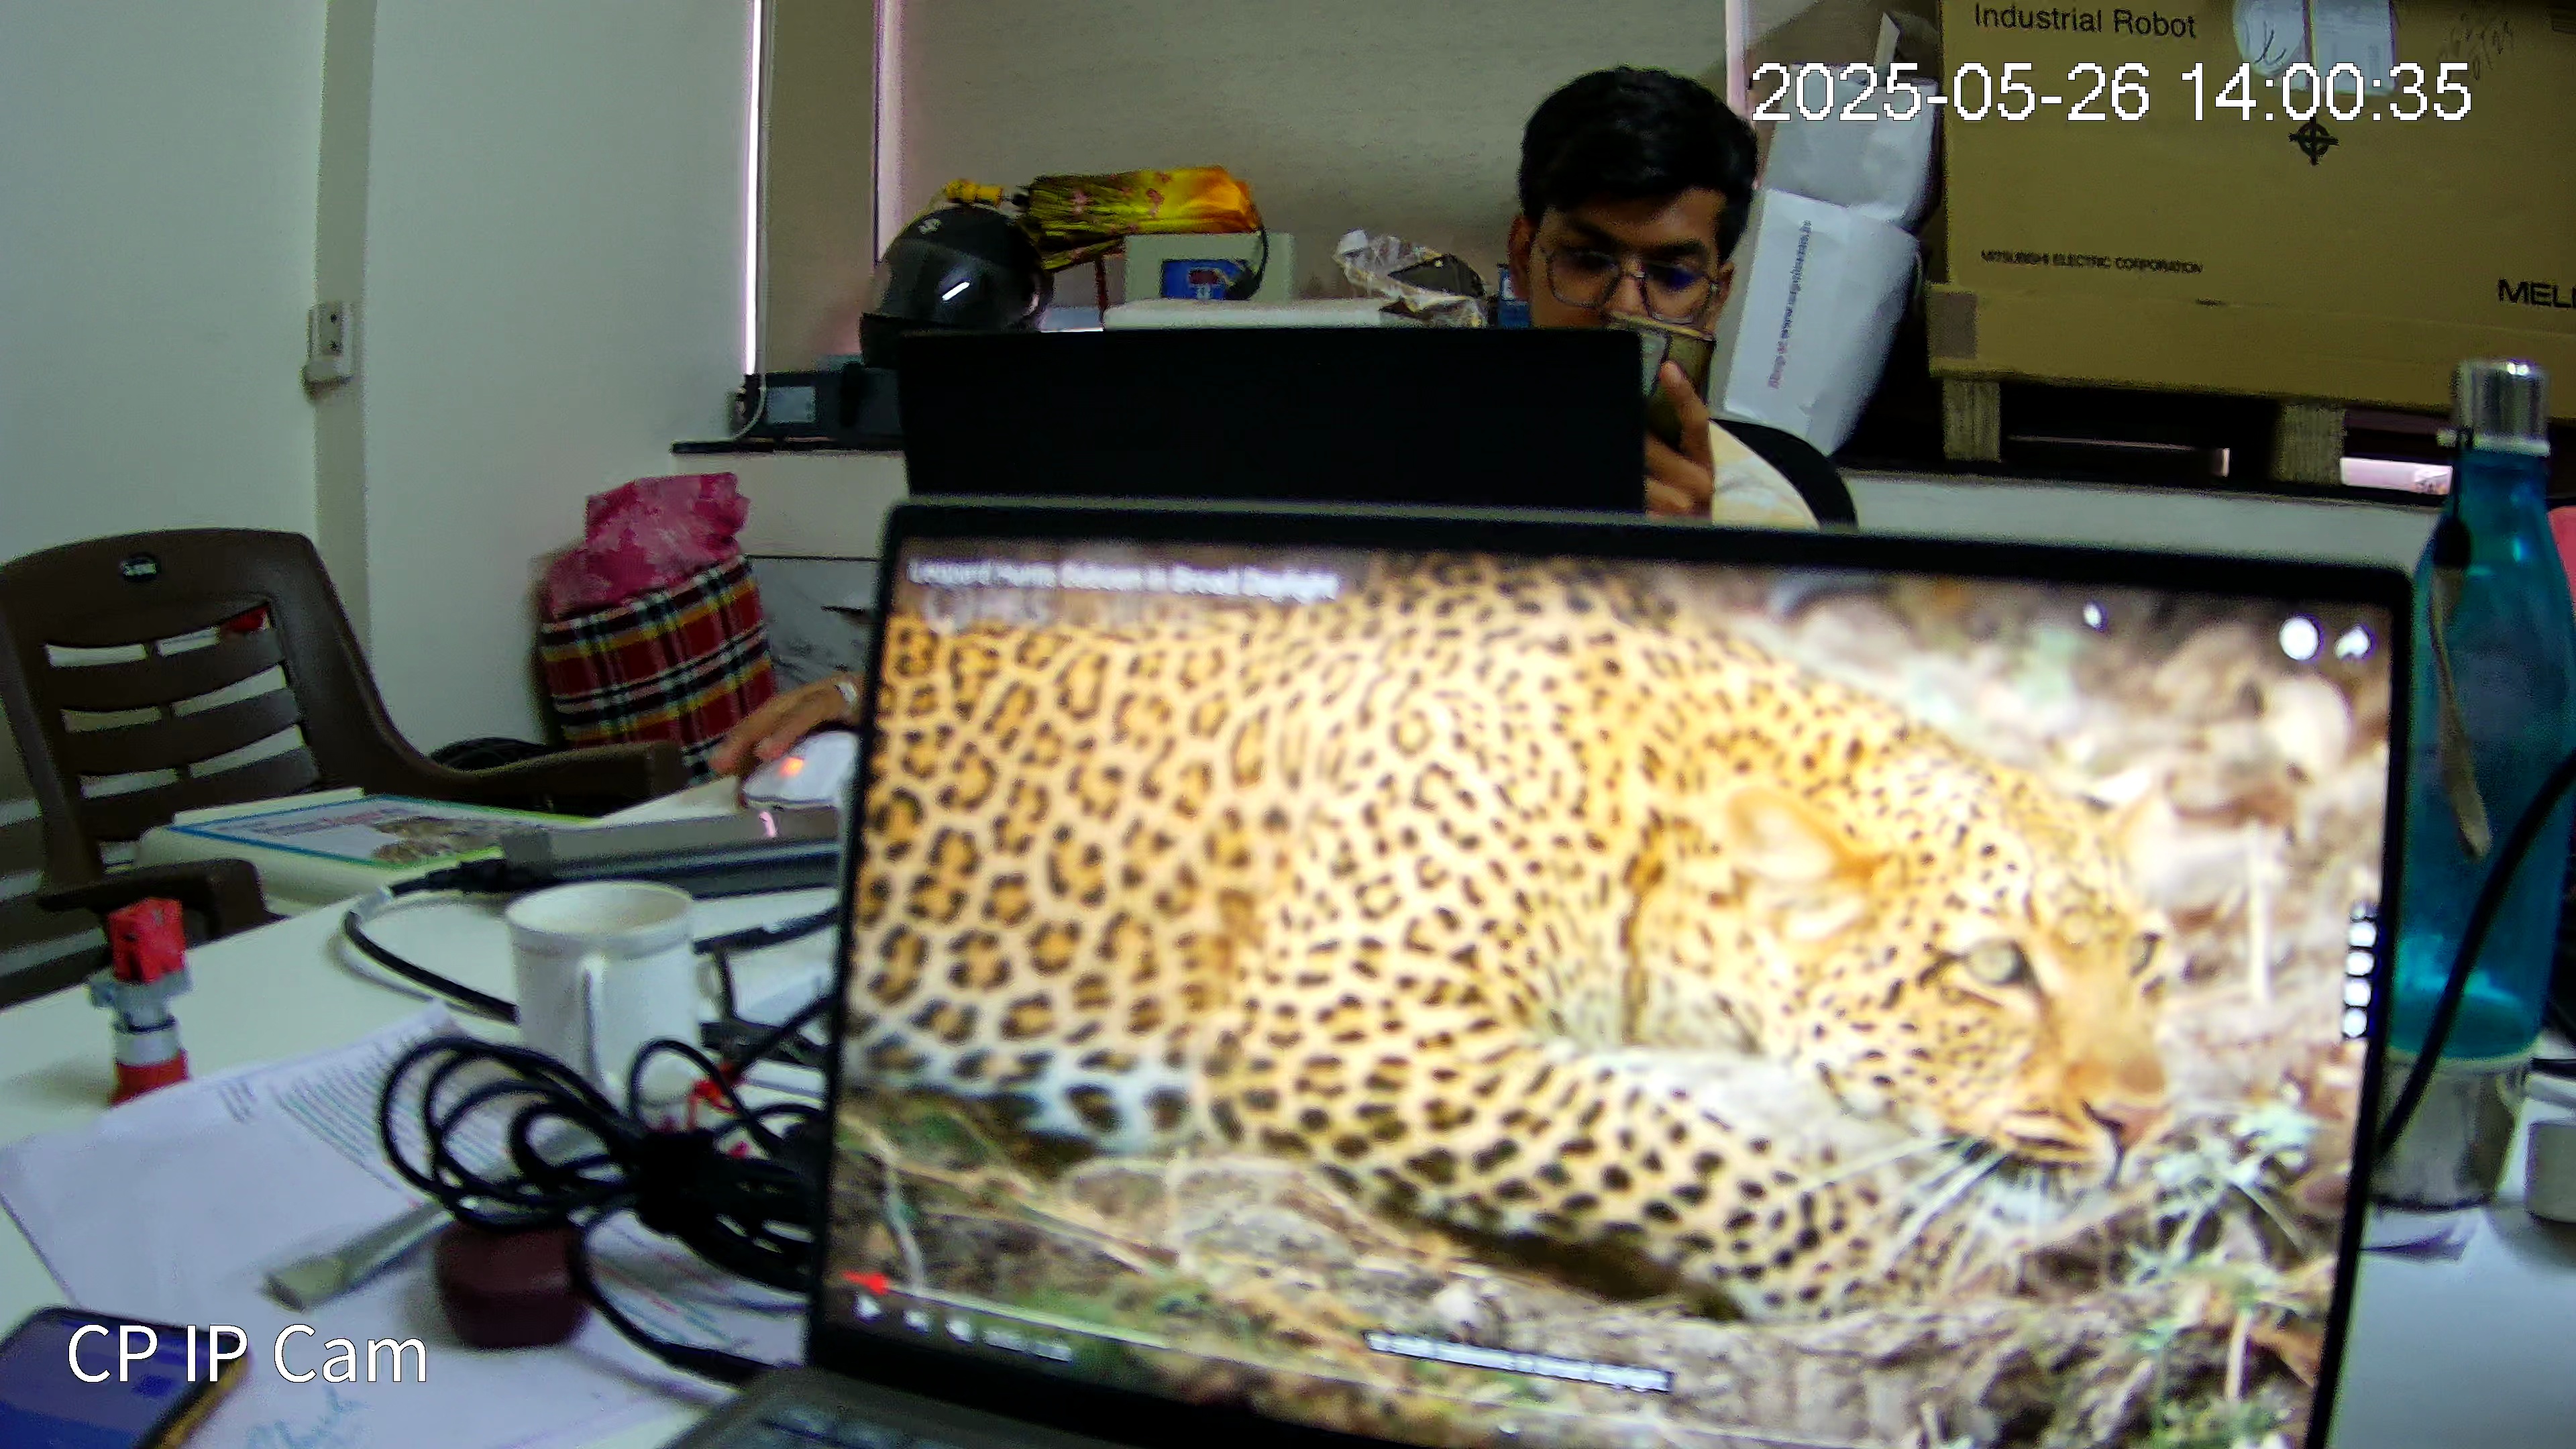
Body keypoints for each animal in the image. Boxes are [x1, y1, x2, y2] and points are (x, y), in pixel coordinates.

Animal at [841, 553, 2171, 1321]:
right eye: (1997, 968)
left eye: (2148, 960)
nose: (2142, 1123)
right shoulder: (1340, 1022)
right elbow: (1671, 1142)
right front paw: (1910, 1269)